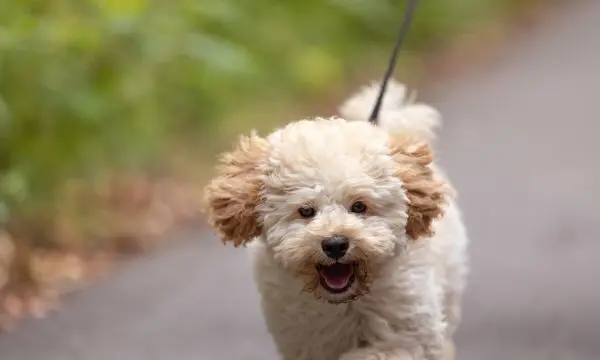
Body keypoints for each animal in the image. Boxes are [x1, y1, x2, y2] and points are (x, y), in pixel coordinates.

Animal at [204, 81, 472, 360]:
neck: (346, 303)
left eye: (359, 206)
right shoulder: (304, 340)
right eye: (306, 211)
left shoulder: (408, 333)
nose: (335, 244)